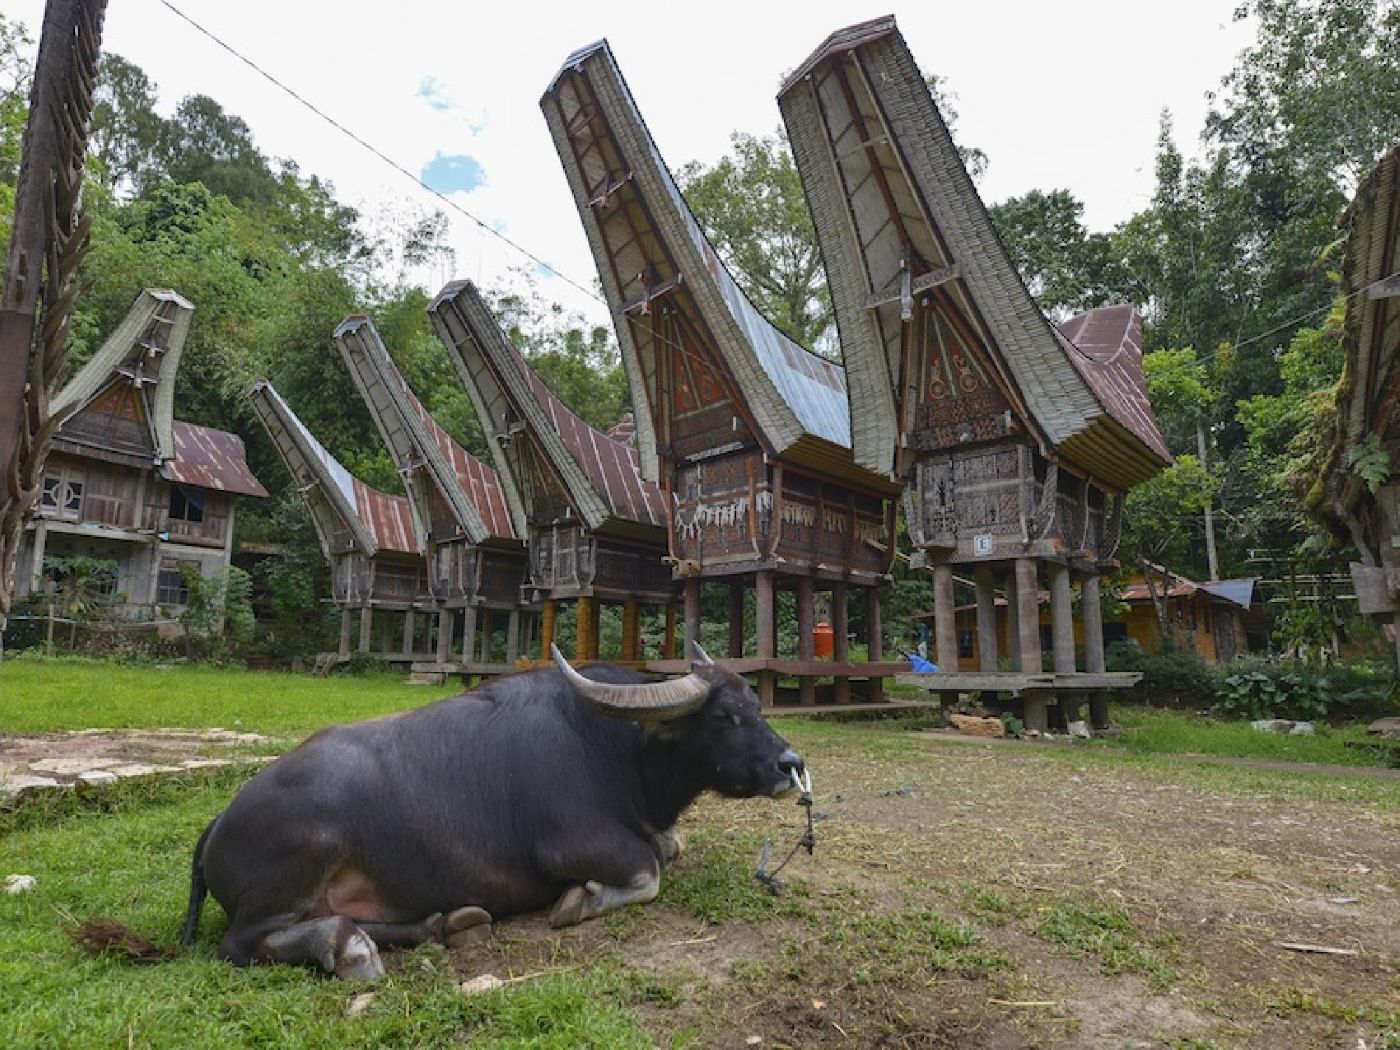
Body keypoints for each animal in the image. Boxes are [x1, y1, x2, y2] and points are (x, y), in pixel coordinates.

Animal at [180, 646, 806, 985]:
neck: (613, 745)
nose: (790, 764)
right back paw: (349, 949)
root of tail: (218, 825)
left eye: (756, 704)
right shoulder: (575, 844)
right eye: (725, 716)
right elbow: (649, 869)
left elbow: (669, 846)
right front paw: (580, 901)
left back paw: (443, 924)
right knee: (241, 944)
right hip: (297, 867)